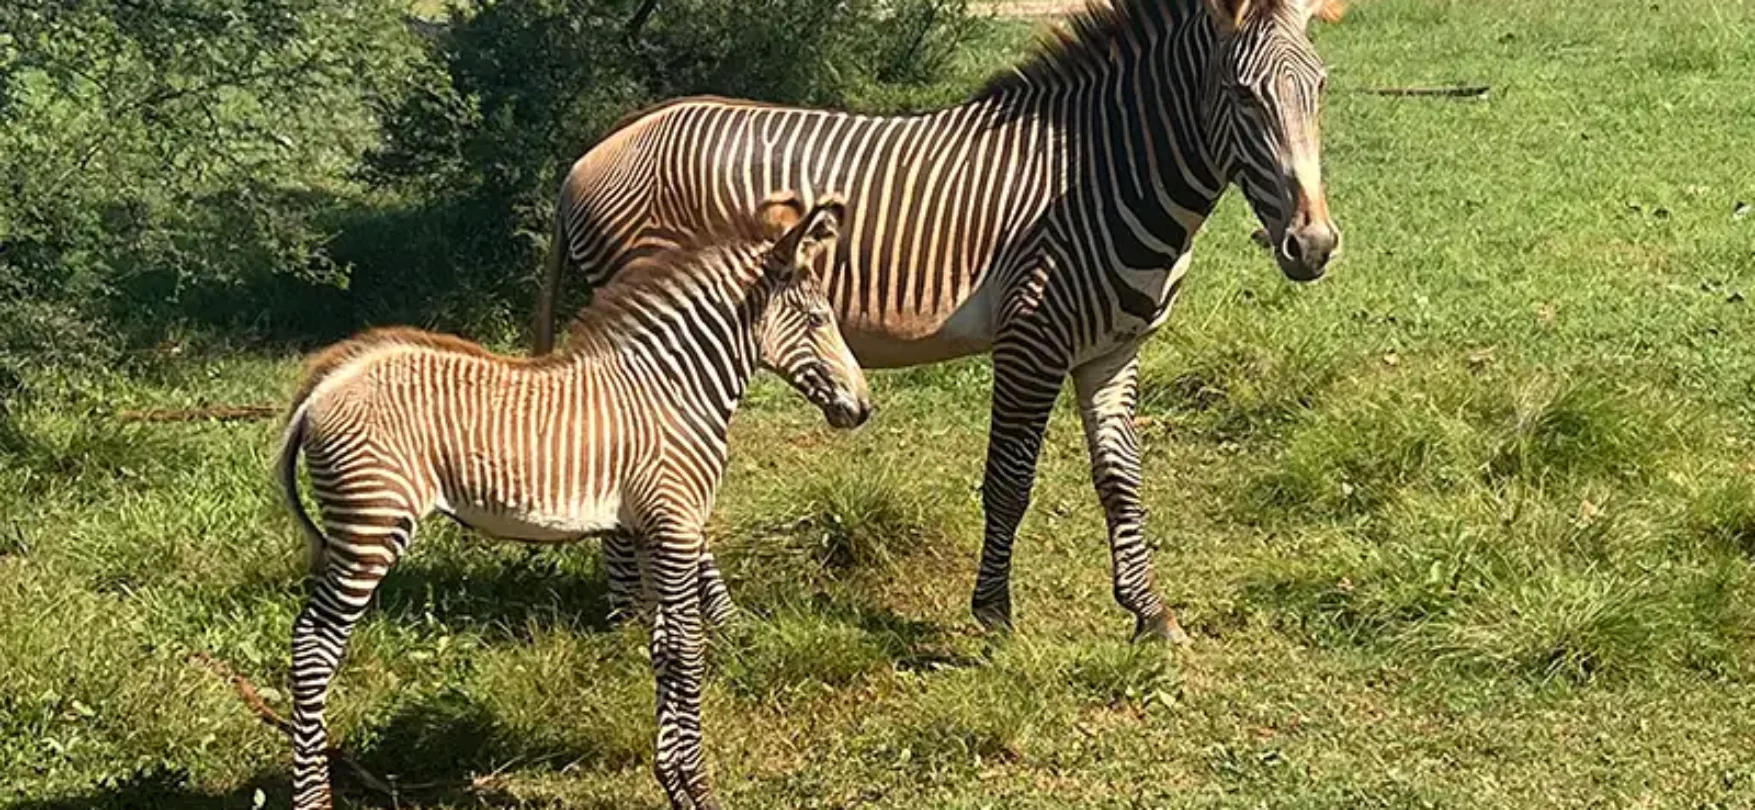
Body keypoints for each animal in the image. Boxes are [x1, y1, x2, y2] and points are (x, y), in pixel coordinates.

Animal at [274, 193, 866, 810]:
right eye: (819, 320)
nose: (863, 407)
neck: (673, 389)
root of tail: (324, 385)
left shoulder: (648, 531)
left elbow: (662, 648)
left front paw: (673, 782)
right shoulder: (677, 528)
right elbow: (688, 651)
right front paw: (699, 790)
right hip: (370, 526)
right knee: (313, 646)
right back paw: (312, 797)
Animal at [533, 0, 1345, 643]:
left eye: (1319, 87)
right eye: (1241, 95)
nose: (1312, 245)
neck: (1104, 175)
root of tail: (589, 155)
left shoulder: (1113, 350)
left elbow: (1121, 479)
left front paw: (1150, 614)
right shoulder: (1031, 340)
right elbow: (1010, 480)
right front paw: (993, 615)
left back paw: (651, 613)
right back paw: (686, 619)